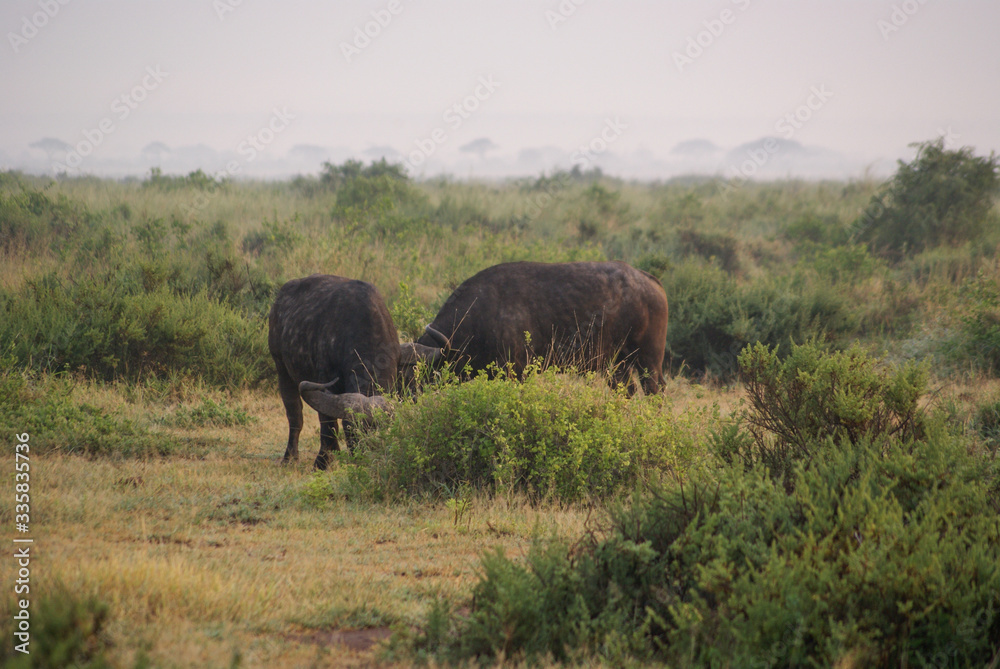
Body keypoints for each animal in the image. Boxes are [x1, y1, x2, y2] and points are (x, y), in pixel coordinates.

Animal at [270, 274, 438, 468]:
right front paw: (323, 461)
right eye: (351, 430)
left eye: (383, 428)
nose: (366, 456)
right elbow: (328, 425)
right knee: (295, 415)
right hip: (281, 368)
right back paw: (289, 457)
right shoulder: (324, 382)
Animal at [418, 260, 668, 394]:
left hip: (649, 360)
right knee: (628, 390)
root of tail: (649, 279)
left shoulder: (516, 373)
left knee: (655, 390)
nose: (410, 396)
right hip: (616, 365)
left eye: (425, 373)